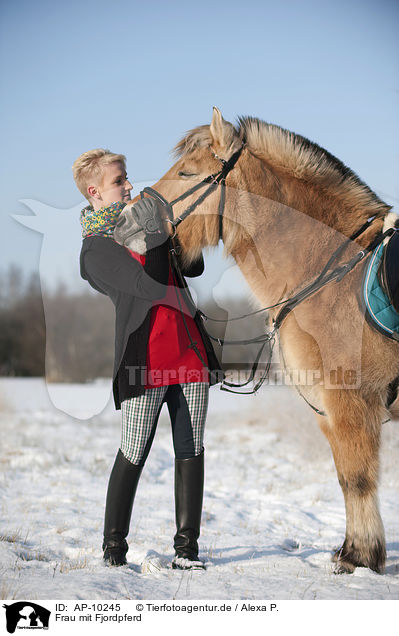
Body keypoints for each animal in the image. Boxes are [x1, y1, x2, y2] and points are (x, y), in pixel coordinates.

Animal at [145, 107, 398, 572]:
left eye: (186, 171)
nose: (130, 219)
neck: (333, 272)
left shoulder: (350, 404)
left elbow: (357, 478)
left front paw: (358, 557)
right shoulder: (329, 410)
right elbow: (345, 477)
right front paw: (354, 550)